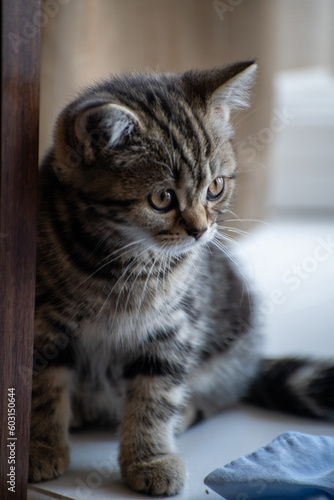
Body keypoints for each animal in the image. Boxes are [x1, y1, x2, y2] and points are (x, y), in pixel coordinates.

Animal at [30, 62, 332, 496]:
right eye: (162, 199)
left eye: (215, 188)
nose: (200, 231)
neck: (123, 261)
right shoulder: (43, 321)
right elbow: (43, 387)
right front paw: (41, 444)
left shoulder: (175, 325)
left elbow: (155, 395)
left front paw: (149, 458)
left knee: (211, 399)